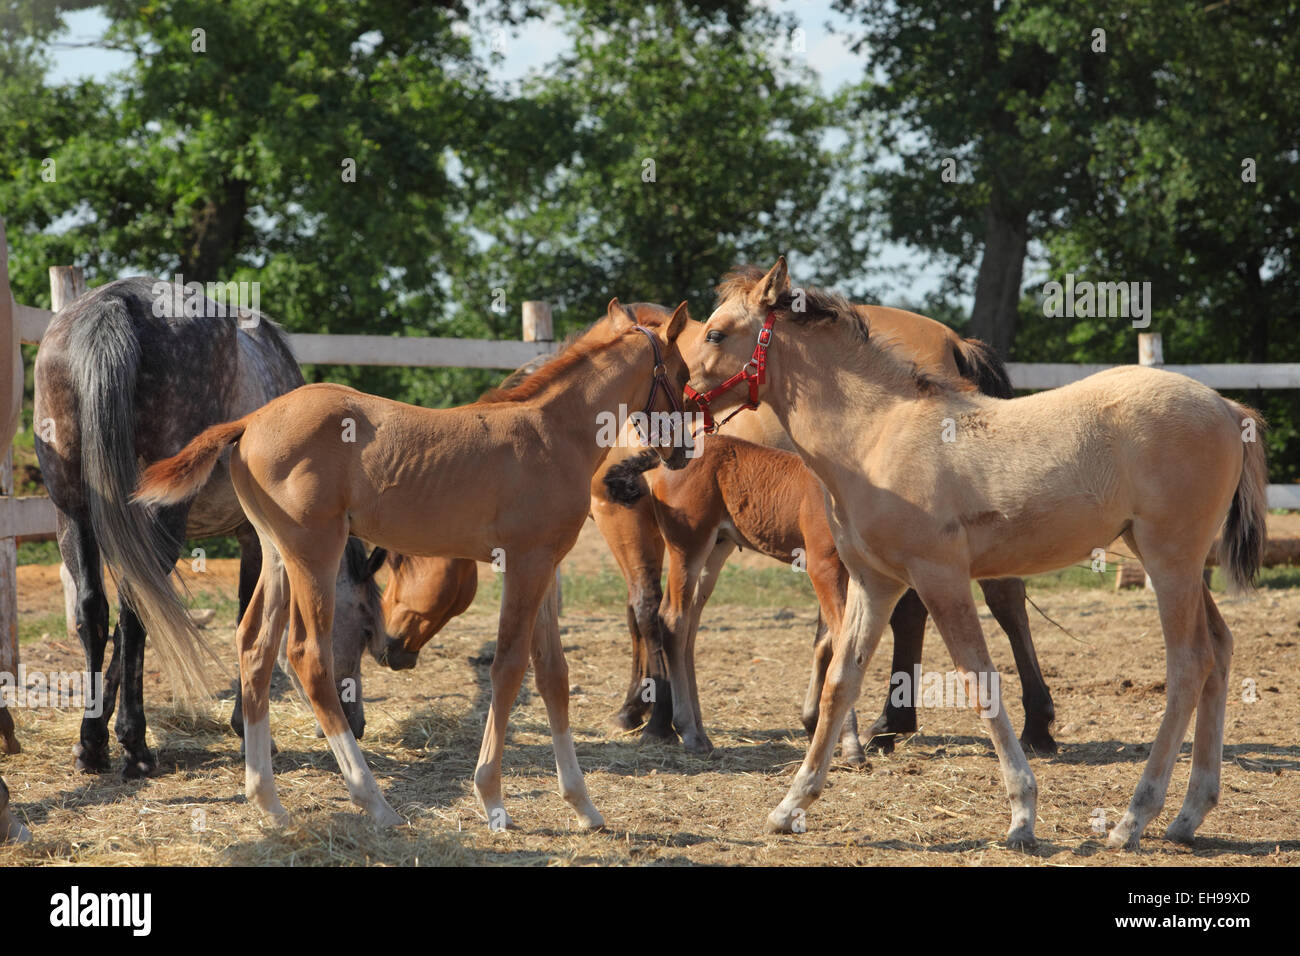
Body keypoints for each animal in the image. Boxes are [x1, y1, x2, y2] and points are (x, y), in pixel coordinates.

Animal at [131, 300, 696, 832]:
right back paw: (374, 802)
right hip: (314, 553)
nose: (686, 450)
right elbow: (509, 667)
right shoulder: (524, 564)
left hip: (275, 555)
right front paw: (492, 799)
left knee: (254, 648)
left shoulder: (544, 568)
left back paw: (269, 802)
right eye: (682, 374)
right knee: (308, 657)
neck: (553, 433)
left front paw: (583, 805)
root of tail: (250, 421)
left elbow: (553, 675)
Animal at [691, 257, 1268, 848]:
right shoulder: (875, 582)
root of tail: (1227, 407)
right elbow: (841, 682)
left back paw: (1134, 818)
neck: (876, 434)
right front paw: (790, 806)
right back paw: (1189, 814)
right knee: (1220, 650)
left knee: (1189, 664)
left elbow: (980, 680)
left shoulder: (939, 577)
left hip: (1170, 560)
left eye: (715, 334)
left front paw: (1022, 814)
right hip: (1174, 560)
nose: (685, 402)